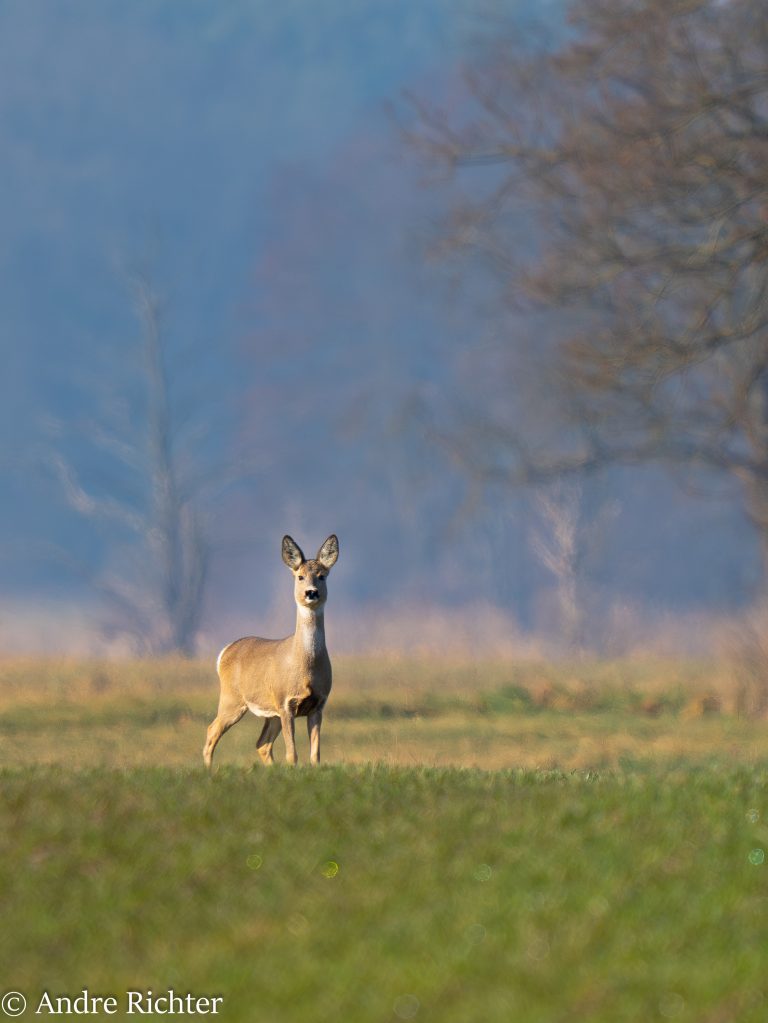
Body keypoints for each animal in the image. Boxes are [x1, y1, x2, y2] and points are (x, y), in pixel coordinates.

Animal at [203, 534, 339, 770]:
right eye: (300, 576)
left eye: (322, 576)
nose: (311, 592)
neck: (306, 666)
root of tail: (225, 651)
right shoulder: (285, 702)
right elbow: (292, 754)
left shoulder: (318, 704)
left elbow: (315, 755)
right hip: (232, 699)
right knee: (212, 731)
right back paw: (209, 770)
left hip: (269, 712)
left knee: (262, 743)